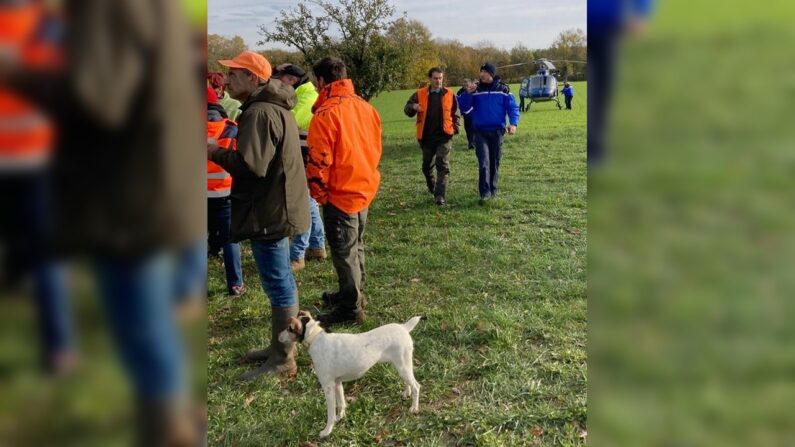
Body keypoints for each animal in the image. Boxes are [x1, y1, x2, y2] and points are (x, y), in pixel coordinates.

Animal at [282, 312, 426, 438]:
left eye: (289, 329)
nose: (278, 336)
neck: (315, 337)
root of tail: (404, 327)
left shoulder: (328, 387)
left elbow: (330, 414)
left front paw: (327, 431)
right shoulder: (337, 383)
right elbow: (341, 403)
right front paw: (340, 417)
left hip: (403, 366)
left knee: (416, 386)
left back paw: (414, 407)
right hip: (401, 366)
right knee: (408, 383)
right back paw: (406, 394)